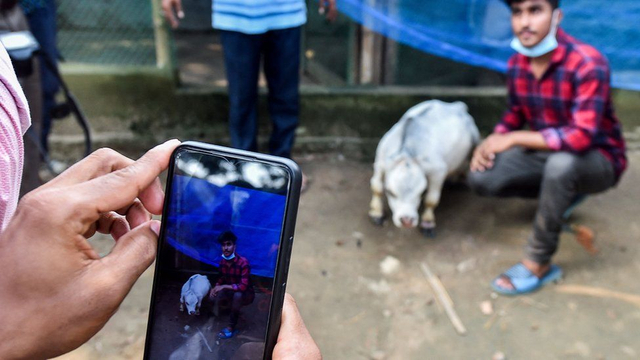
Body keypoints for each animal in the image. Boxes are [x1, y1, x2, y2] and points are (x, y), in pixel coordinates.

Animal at [368, 100, 478, 238]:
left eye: (422, 192)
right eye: (390, 192)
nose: (407, 220)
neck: (407, 154)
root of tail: (457, 106)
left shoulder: (438, 171)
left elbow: (431, 199)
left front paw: (428, 223)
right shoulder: (380, 161)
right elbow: (376, 187)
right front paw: (376, 213)